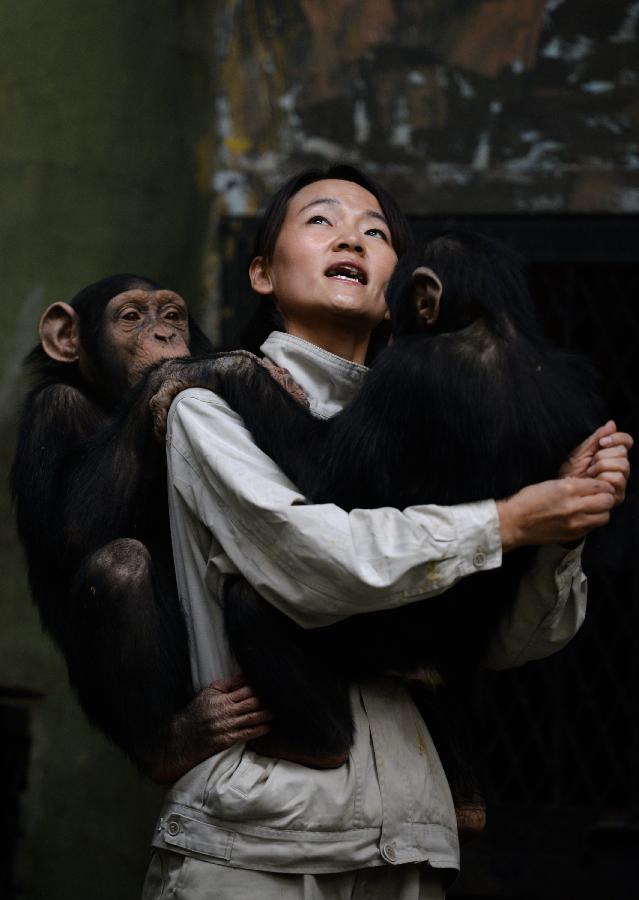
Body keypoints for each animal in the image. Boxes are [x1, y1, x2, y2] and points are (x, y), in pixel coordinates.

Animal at [8, 276, 264, 772]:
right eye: (130, 317)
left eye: (172, 315)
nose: (165, 335)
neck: (109, 402)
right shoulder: (51, 409)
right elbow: (74, 526)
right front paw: (190, 369)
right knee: (118, 565)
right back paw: (173, 741)